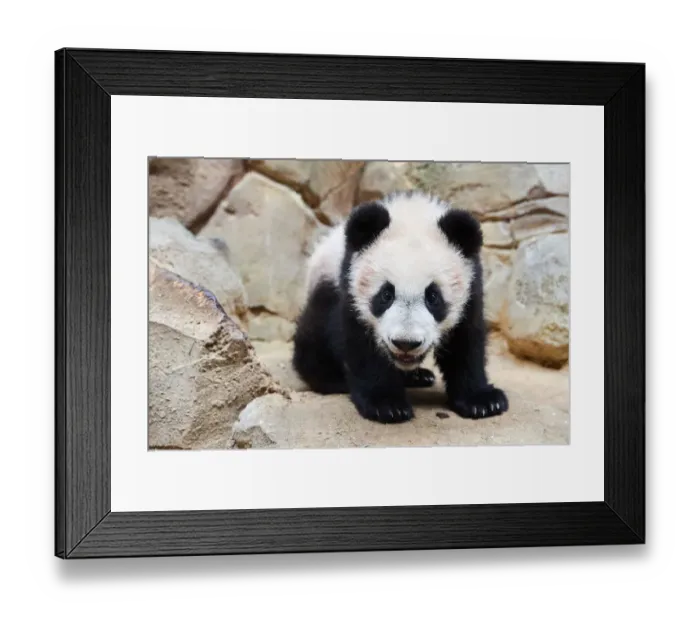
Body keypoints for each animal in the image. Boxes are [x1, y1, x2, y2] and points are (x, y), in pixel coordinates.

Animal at [292, 191, 509, 424]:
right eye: (386, 294)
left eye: (433, 297)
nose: (406, 343)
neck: (412, 214)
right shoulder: (349, 283)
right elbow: (361, 342)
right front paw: (386, 405)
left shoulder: (472, 287)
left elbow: (466, 340)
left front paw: (482, 401)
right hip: (325, 282)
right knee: (316, 330)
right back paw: (332, 378)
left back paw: (418, 376)